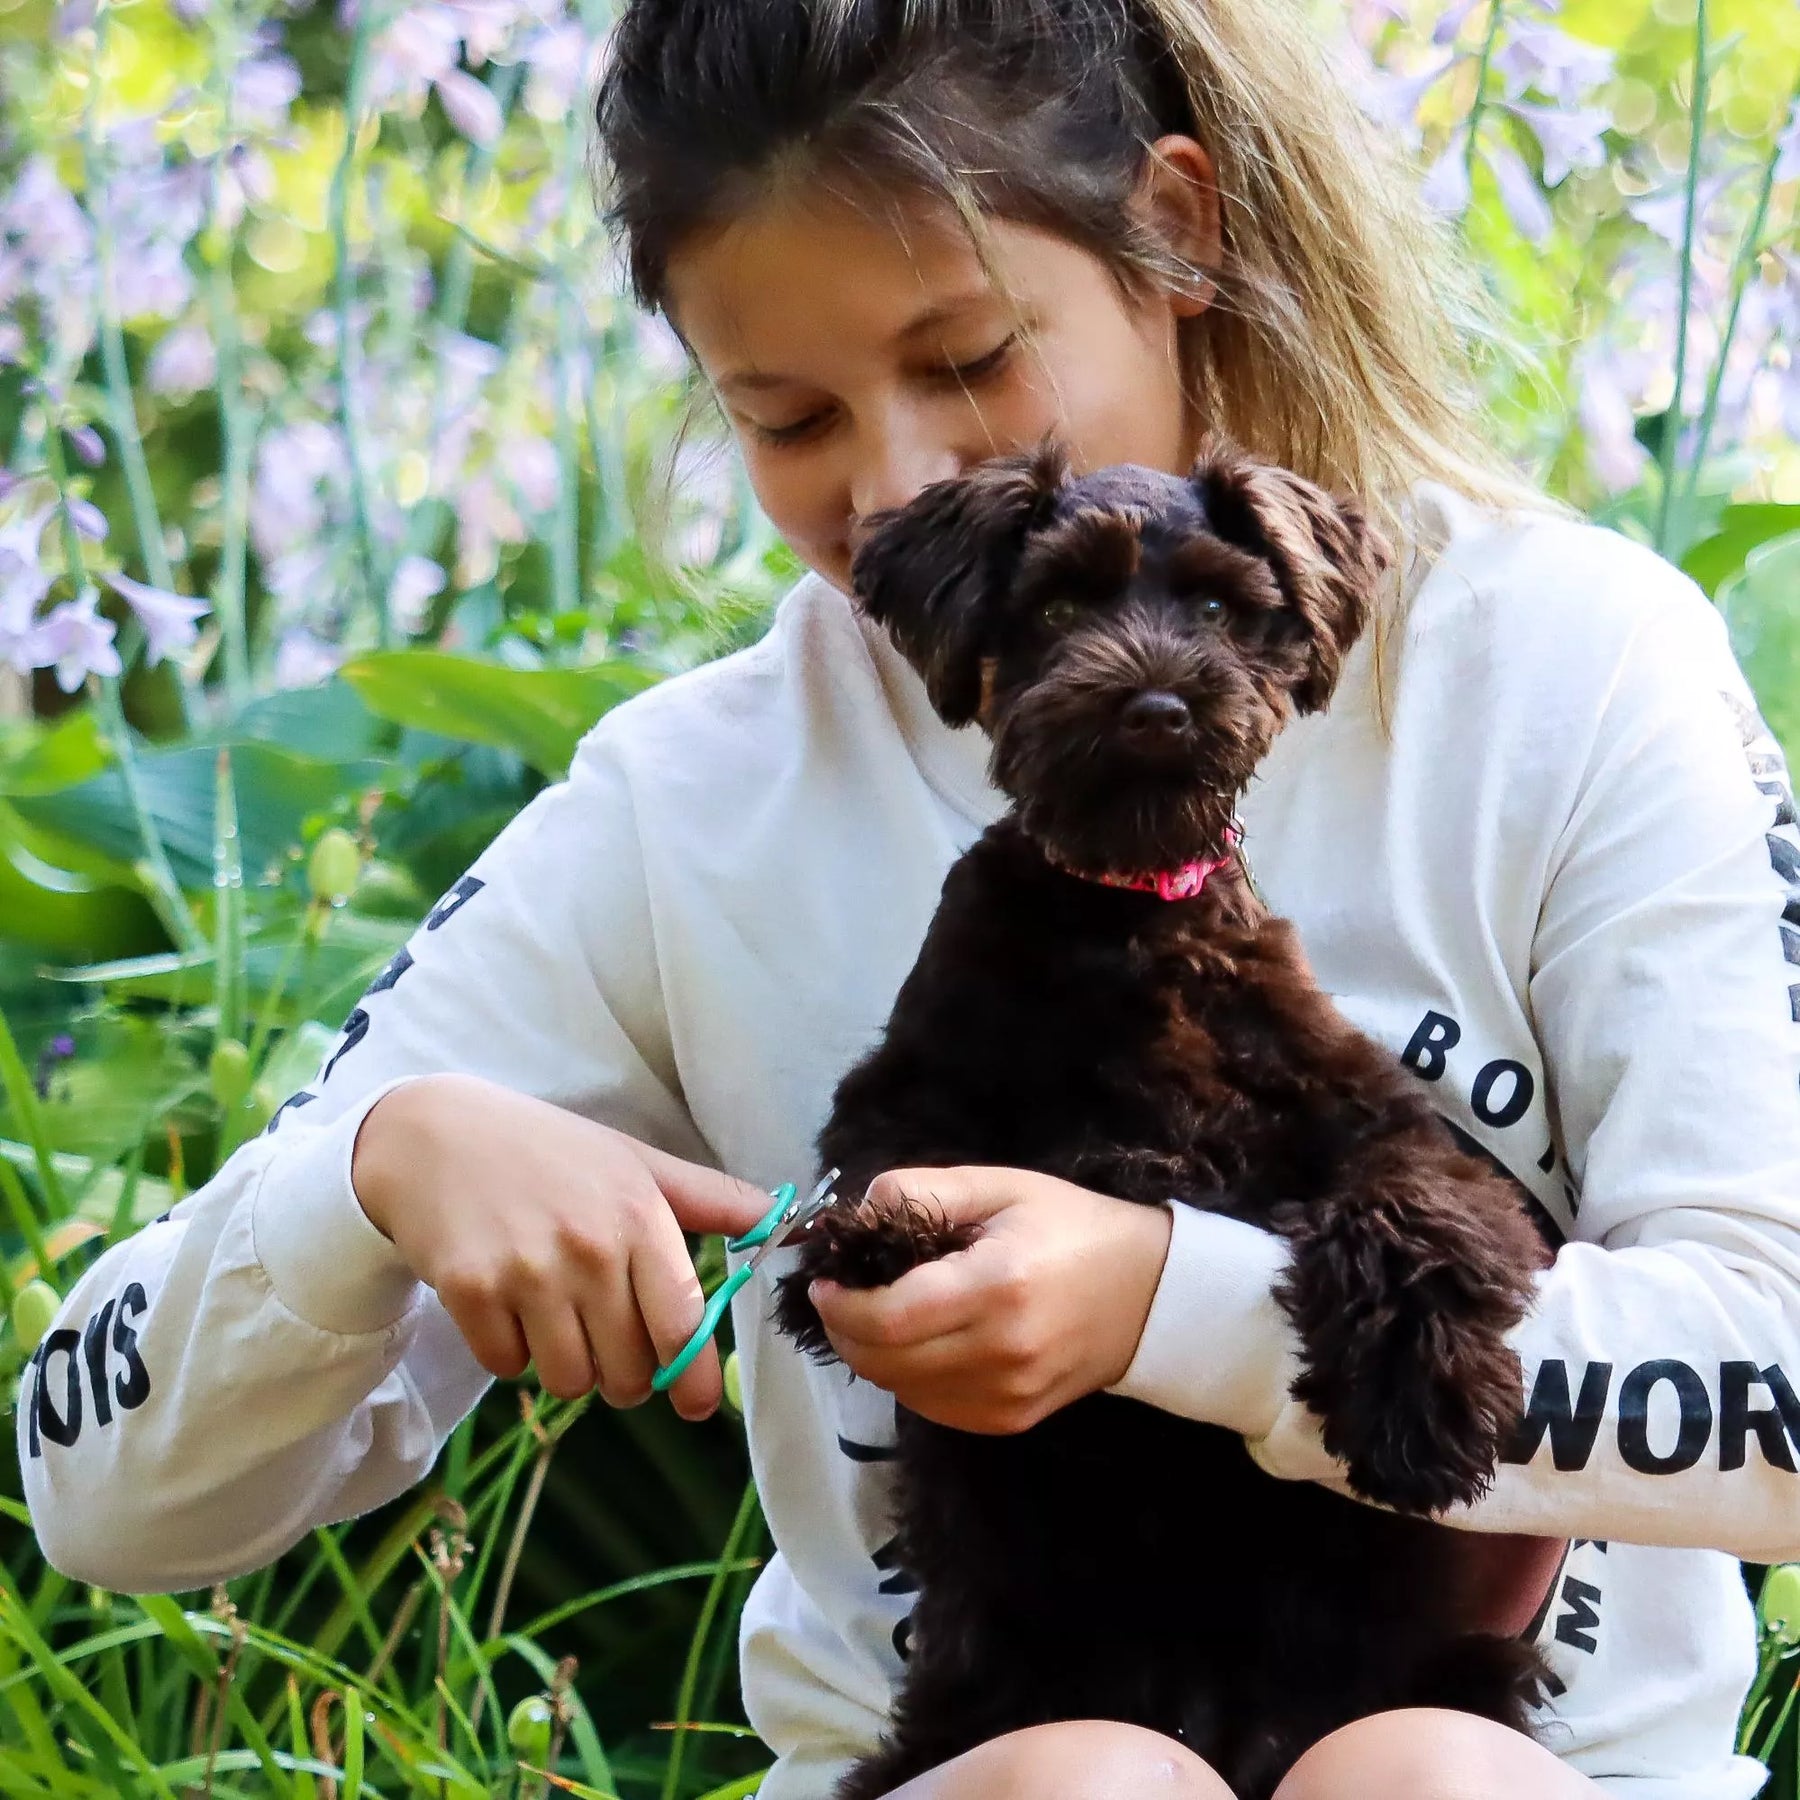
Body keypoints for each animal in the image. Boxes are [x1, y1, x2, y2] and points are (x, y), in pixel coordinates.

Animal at [774, 439, 1562, 1800]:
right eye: (1054, 610)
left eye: (1215, 606)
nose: (1155, 708)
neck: (1128, 917)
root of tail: (1215, 1723)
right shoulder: (897, 1090)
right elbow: (891, 1167)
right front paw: (892, 1241)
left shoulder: (1380, 1124)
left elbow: (1414, 1207)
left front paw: (1417, 1404)